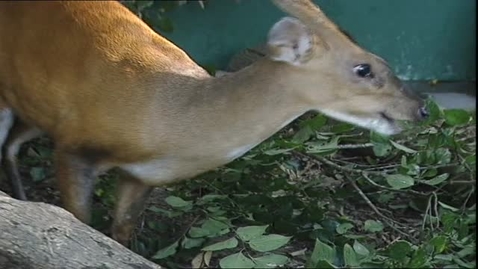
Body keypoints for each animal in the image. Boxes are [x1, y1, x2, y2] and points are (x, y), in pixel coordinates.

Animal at [0, 0, 428, 245]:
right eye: (364, 69)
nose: (420, 108)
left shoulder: (139, 175)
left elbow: (121, 232)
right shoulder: (76, 147)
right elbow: (80, 223)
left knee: (12, 143)